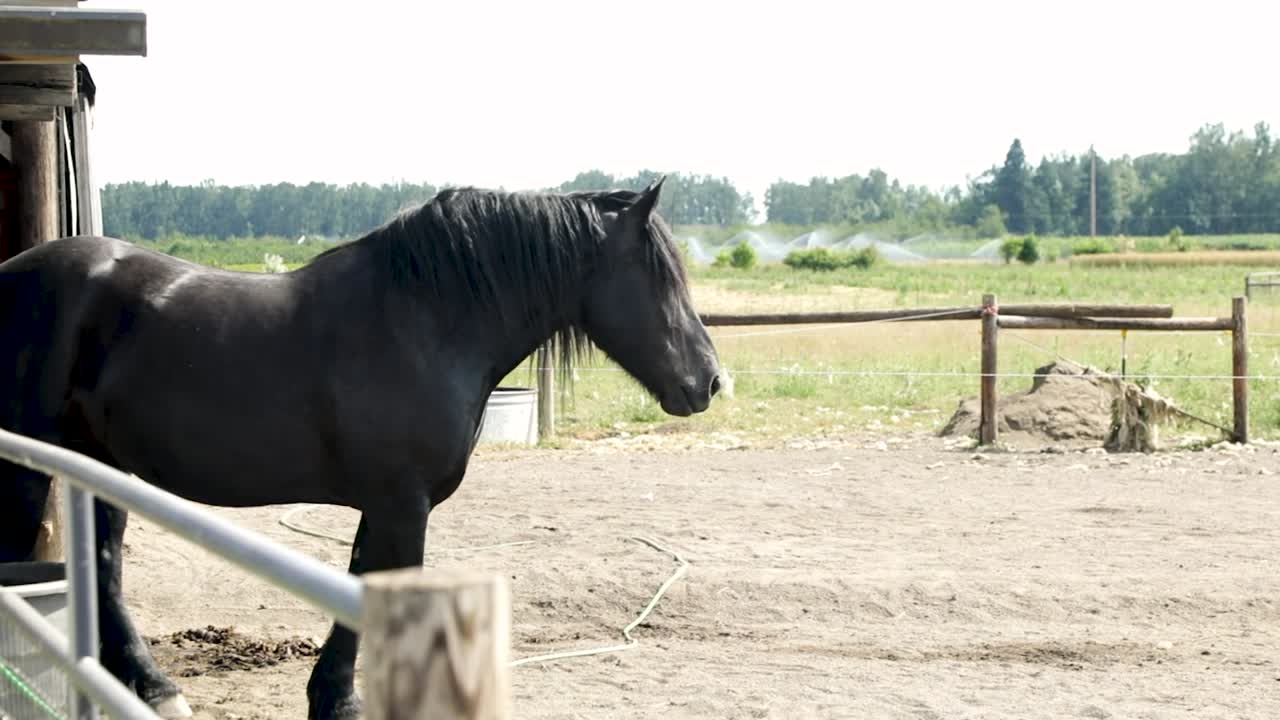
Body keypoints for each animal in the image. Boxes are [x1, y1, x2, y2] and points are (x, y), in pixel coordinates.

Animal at [0, 177, 722, 719]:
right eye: (658, 276)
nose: (710, 380)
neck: (425, 322)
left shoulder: (386, 506)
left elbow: (357, 585)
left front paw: (331, 697)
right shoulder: (404, 505)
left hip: (99, 461)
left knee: (104, 565)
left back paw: (151, 687)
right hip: (33, 466)